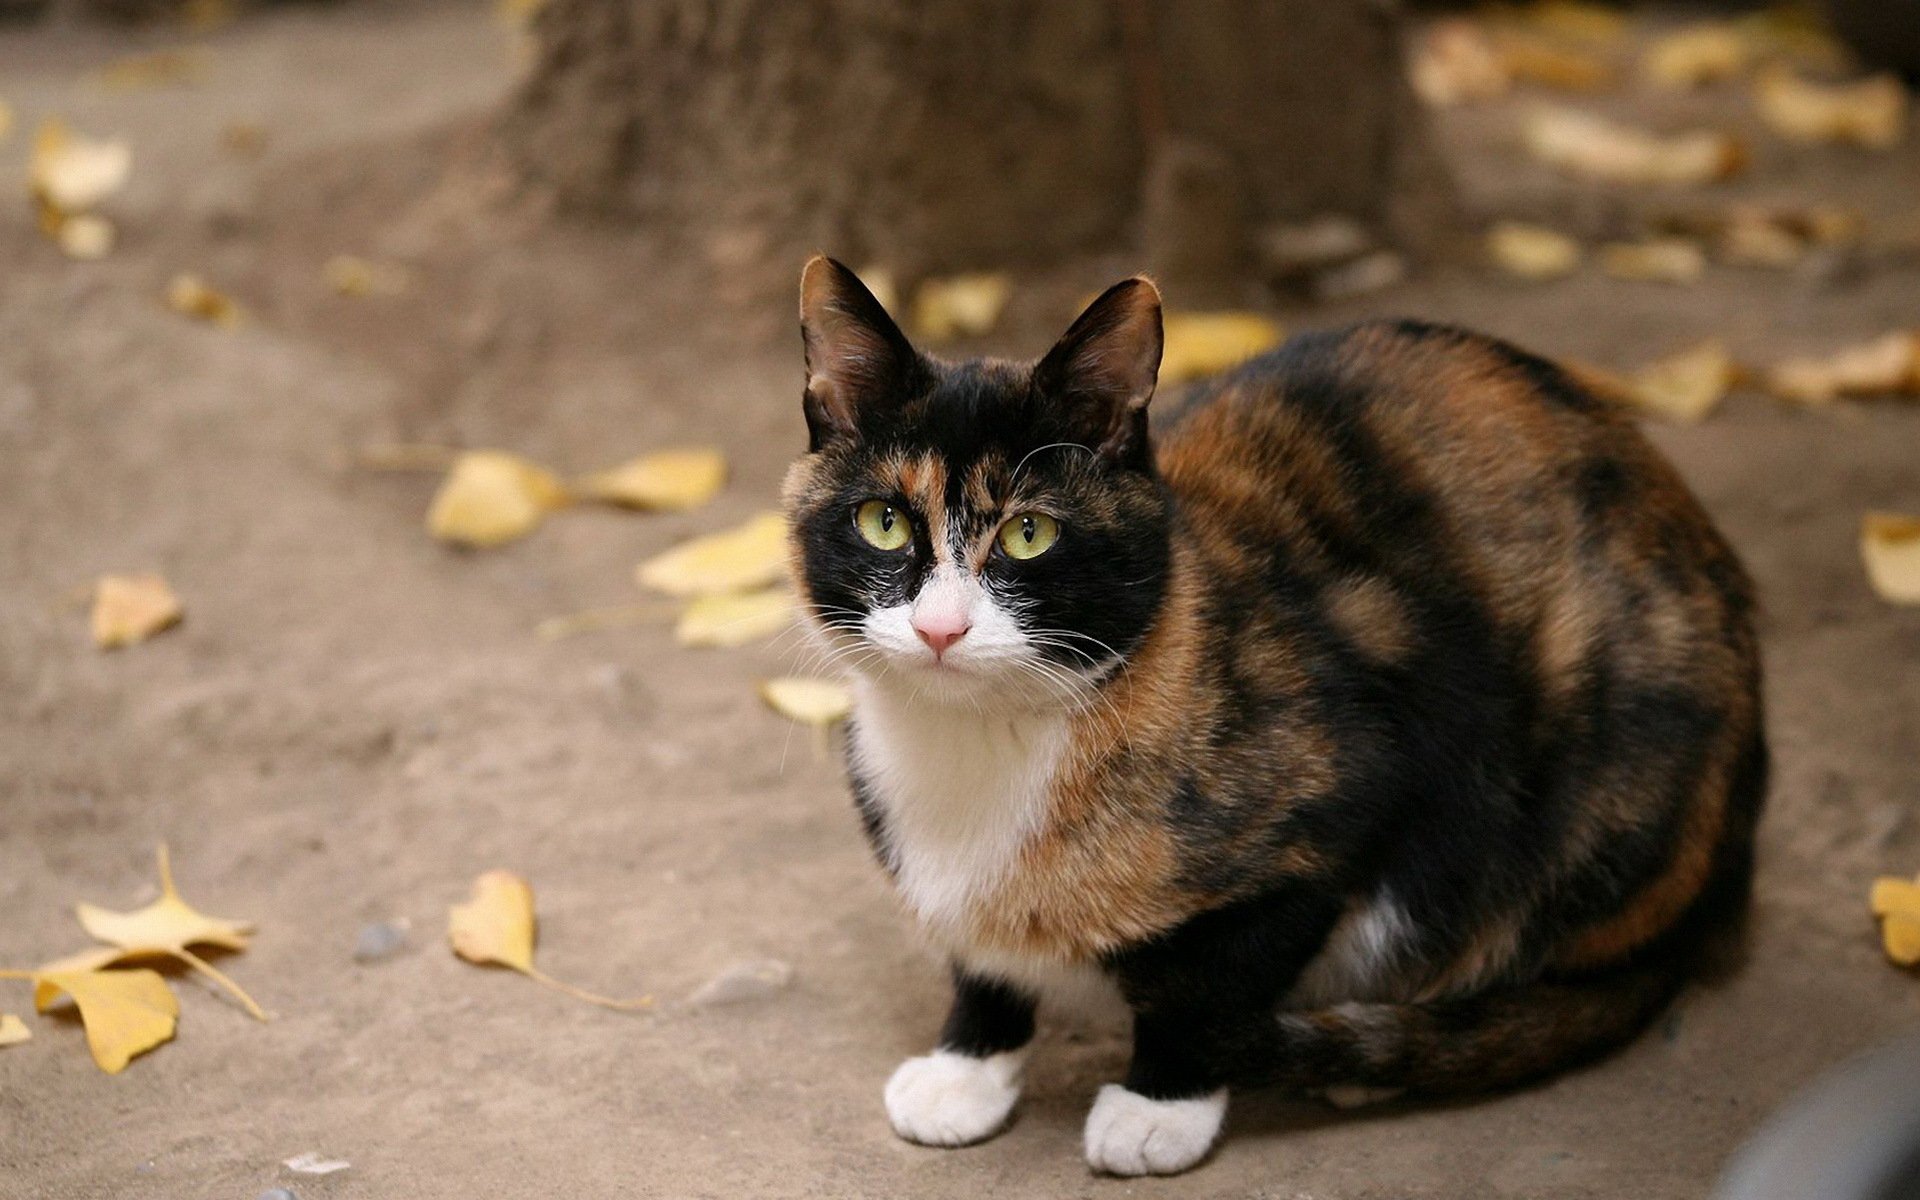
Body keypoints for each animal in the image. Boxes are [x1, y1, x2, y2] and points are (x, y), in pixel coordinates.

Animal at [775, 257, 1758, 1175]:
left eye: (1029, 534)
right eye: (883, 521)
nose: (941, 629)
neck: (985, 747)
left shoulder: (1350, 801)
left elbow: (1210, 985)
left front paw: (1158, 1107)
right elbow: (980, 959)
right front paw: (967, 1067)